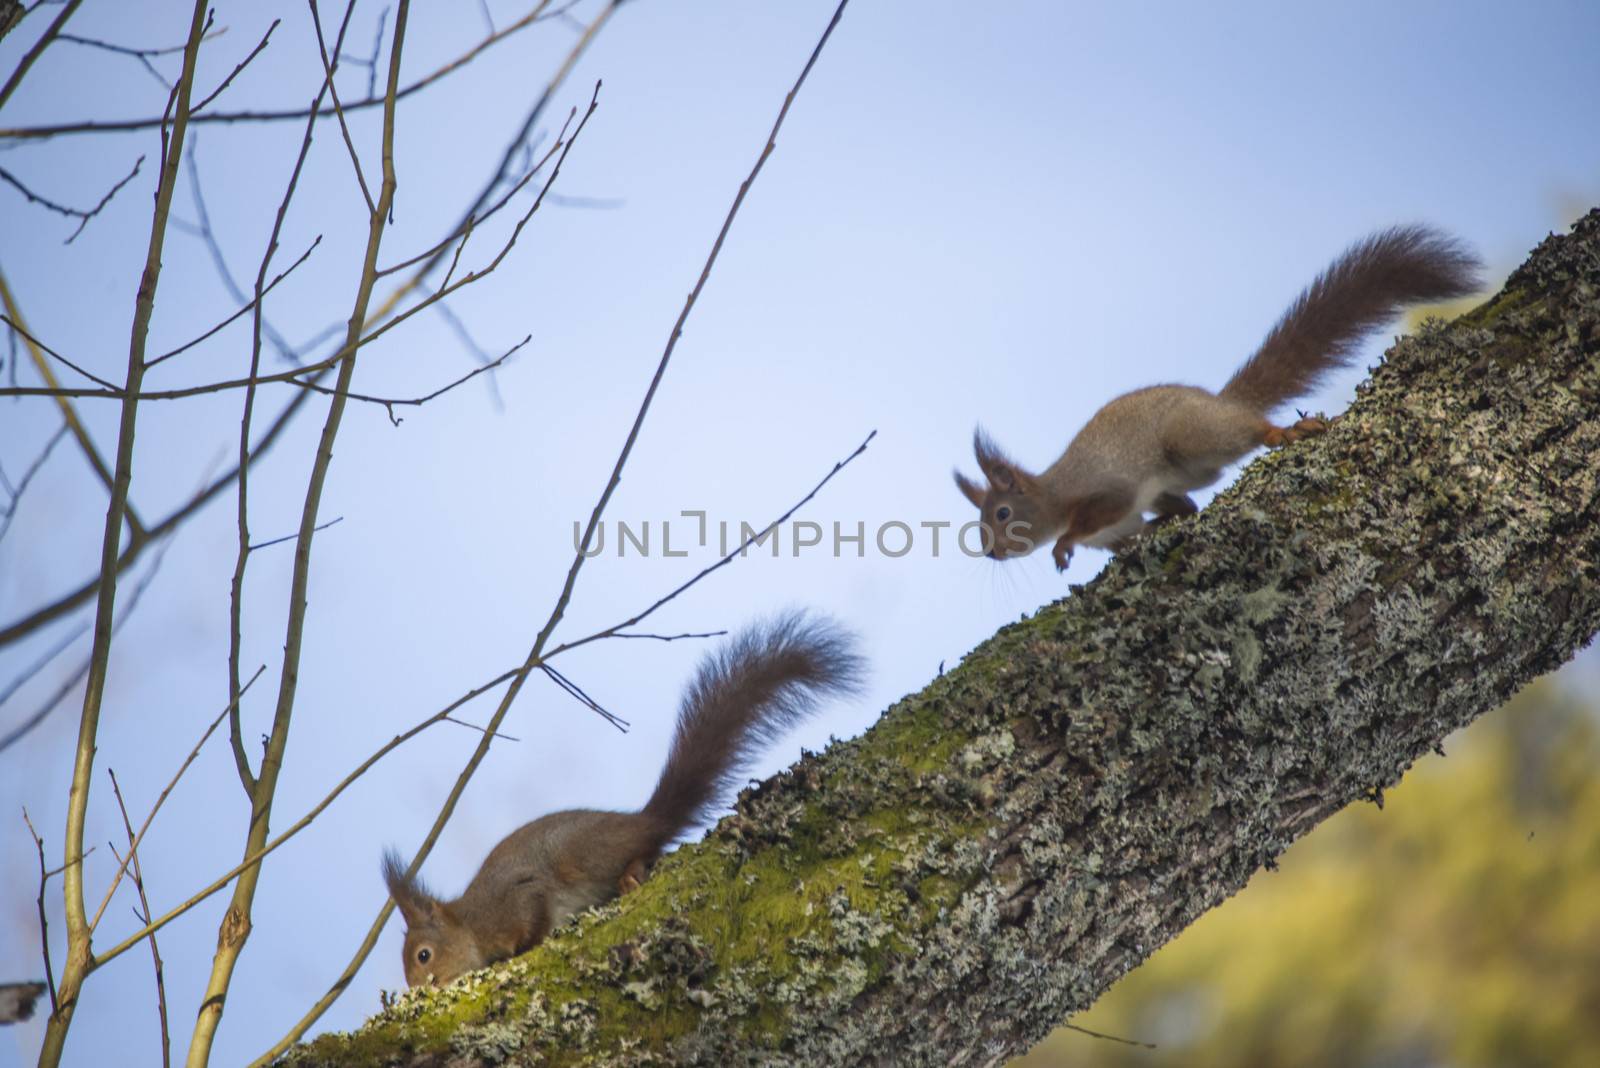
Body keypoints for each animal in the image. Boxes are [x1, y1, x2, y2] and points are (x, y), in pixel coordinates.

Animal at [379, 613, 864, 991]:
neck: (471, 923)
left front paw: (526, 946)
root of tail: (642, 820)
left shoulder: (514, 897)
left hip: (582, 854)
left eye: (423, 955)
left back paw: (631, 873)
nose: (420, 988)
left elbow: (533, 916)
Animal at [947, 227, 1484, 572]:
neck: (1055, 495)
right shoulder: (1125, 523)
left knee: (1250, 431)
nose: (992, 552)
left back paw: (1283, 431)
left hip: (1194, 437)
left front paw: (1063, 544)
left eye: (1001, 513)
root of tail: (1222, 402)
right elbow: (1162, 520)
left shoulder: (1105, 490)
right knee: (1186, 500)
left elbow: (1095, 516)